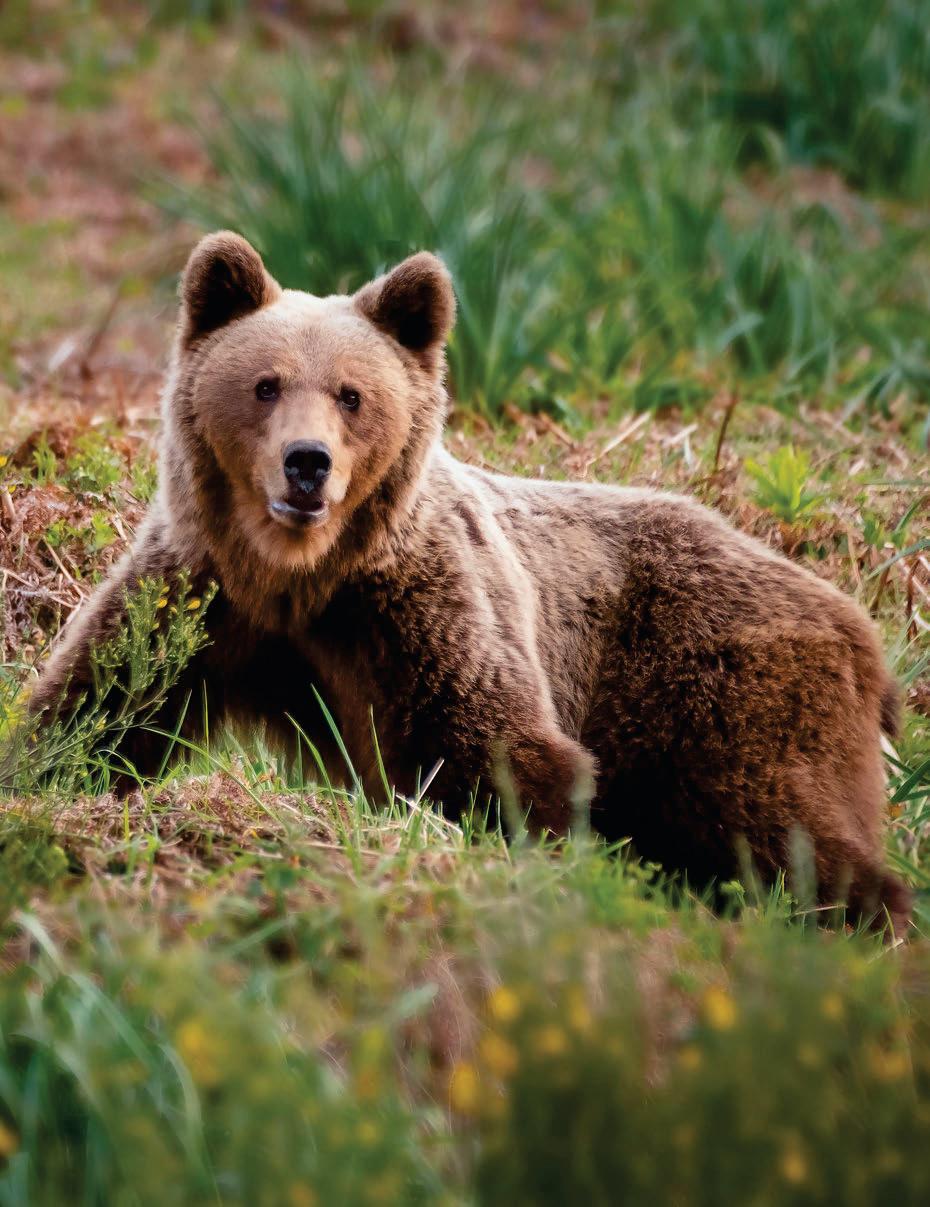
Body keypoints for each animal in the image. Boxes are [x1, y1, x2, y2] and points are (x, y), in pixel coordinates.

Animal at [25, 231, 911, 935]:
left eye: (352, 394)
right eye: (265, 383)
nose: (307, 463)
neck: (300, 577)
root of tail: (860, 627)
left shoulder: (424, 610)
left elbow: (498, 744)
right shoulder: (202, 601)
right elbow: (100, 703)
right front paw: (46, 781)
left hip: (717, 685)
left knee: (780, 818)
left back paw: (863, 914)